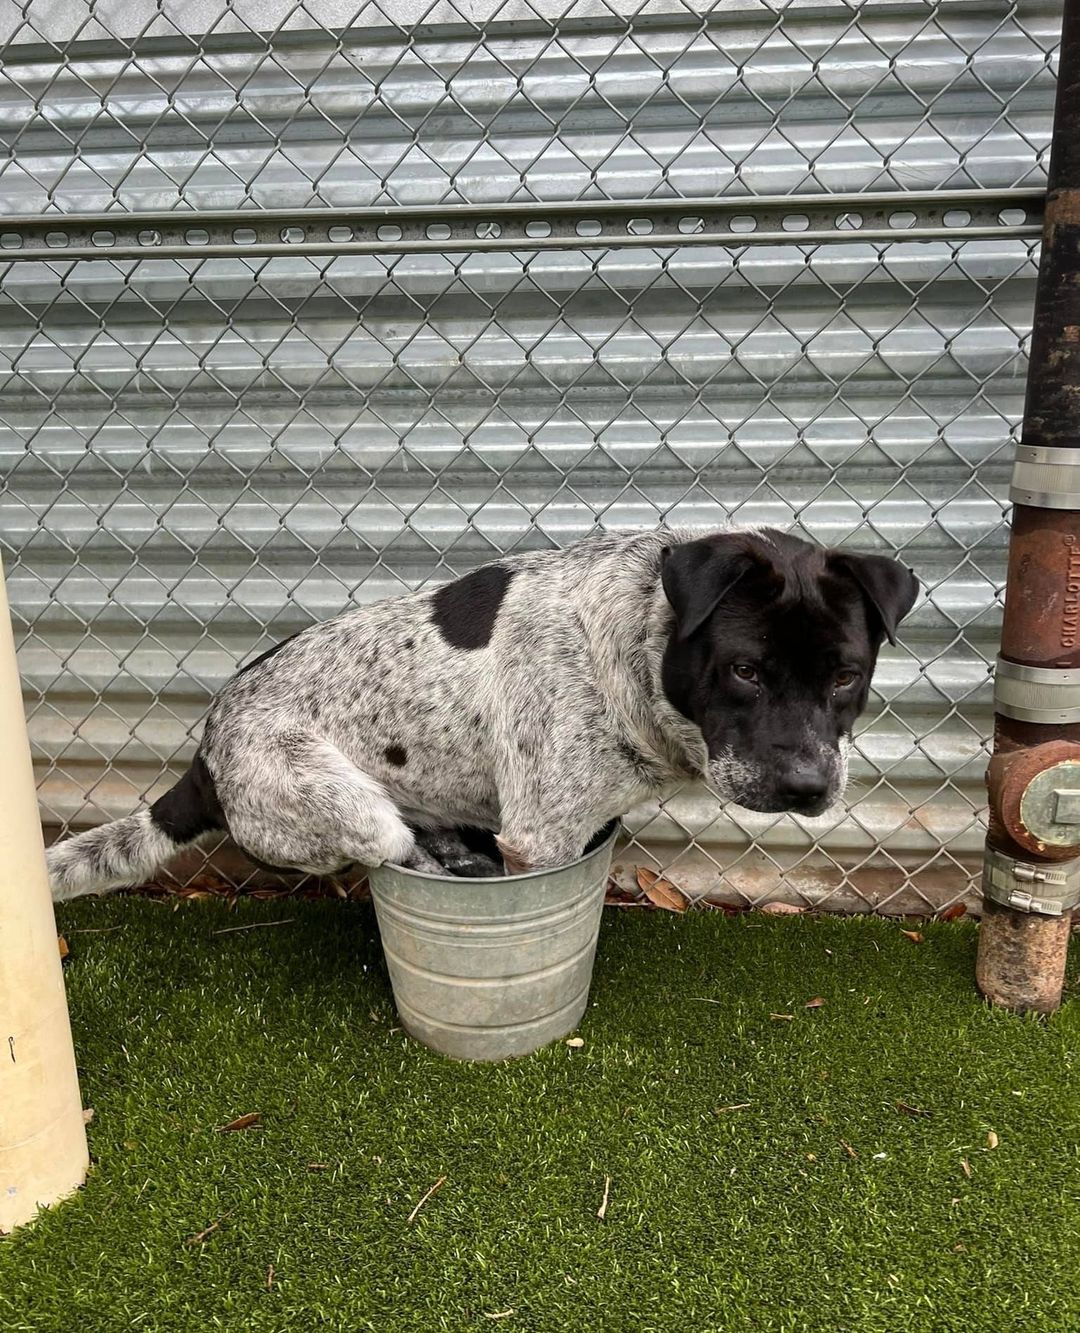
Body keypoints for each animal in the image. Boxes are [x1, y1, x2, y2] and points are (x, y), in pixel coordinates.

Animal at [46, 525, 912, 901]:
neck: (626, 646)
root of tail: (204, 756)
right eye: (744, 669)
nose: (807, 786)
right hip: (345, 806)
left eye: (846, 675)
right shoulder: (540, 840)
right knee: (388, 850)